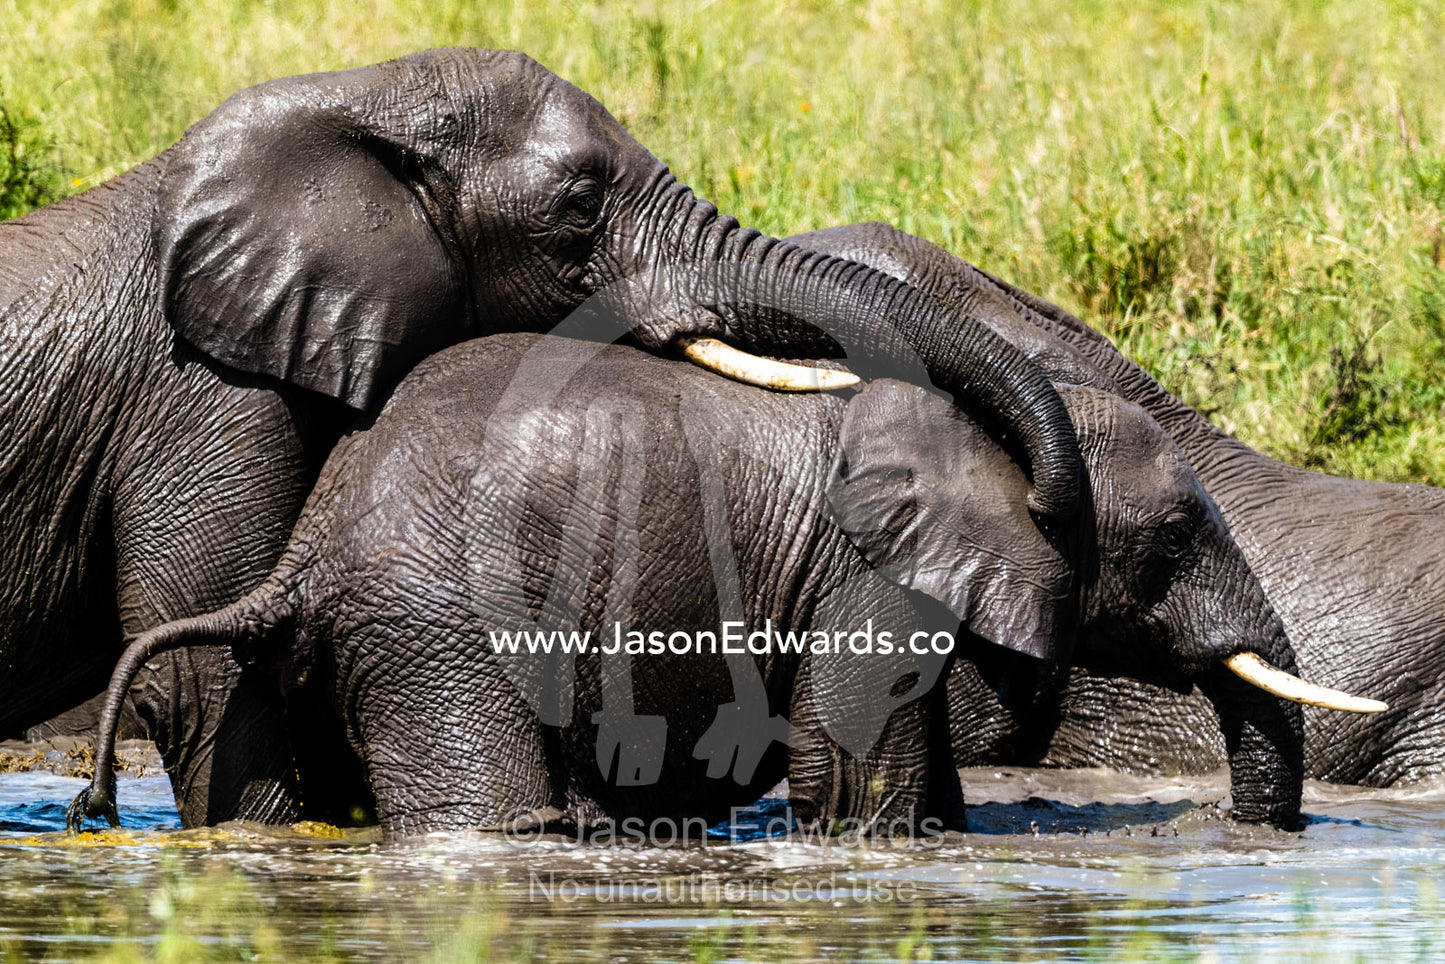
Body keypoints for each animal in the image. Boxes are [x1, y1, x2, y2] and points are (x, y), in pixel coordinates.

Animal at [69, 332, 1376, 836]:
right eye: (1177, 531)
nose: (1229, 831)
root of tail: (310, 548)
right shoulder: (870, 575)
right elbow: (853, 755)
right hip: (436, 623)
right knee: (489, 810)